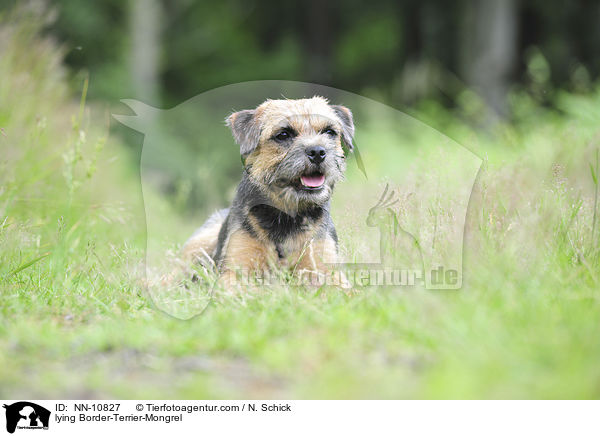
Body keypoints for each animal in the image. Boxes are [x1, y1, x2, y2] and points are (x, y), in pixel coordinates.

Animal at [180, 96, 354, 288]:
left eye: (329, 132)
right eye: (283, 134)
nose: (317, 152)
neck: (287, 216)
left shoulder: (325, 268)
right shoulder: (236, 269)